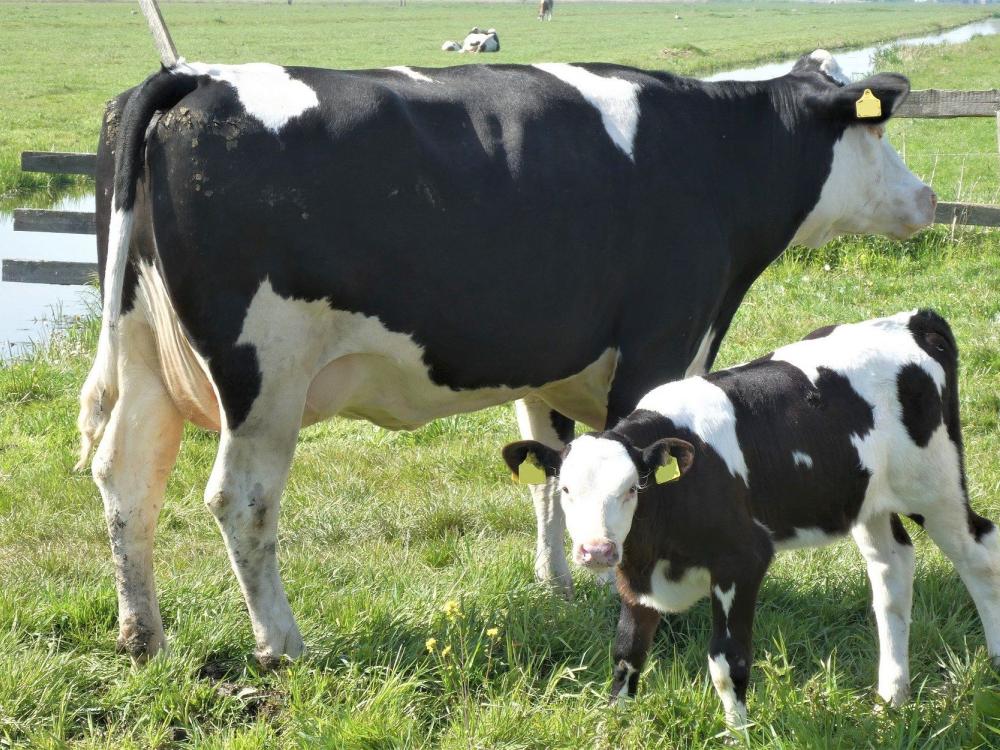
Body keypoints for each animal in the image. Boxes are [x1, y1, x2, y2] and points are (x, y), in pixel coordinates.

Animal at [80, 50, 936, 668]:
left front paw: (558, 583)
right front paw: (644, 608)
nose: (927, 197)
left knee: (127, 480)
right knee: (241, 501)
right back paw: (282, 645)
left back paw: (142, 635)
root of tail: (196, 76)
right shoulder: (664, 341)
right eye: (877, 131)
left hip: (147, 355)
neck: (718, 155)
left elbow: (555, 470)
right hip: (265, 377)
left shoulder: (551, 360)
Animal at [504, 312, 1000, 728]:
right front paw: (613, 726)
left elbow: (727, 662)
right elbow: (627, 654)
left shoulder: (742, 560)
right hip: (867, 501)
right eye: (566, 490)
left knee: (979, 558)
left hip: (936, 486)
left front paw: (738, 732)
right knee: (892, 570)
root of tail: (914, 320)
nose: (598, 551)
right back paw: (892, 697)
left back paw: (992, 669)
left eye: (632, 488)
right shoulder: (635, 574)